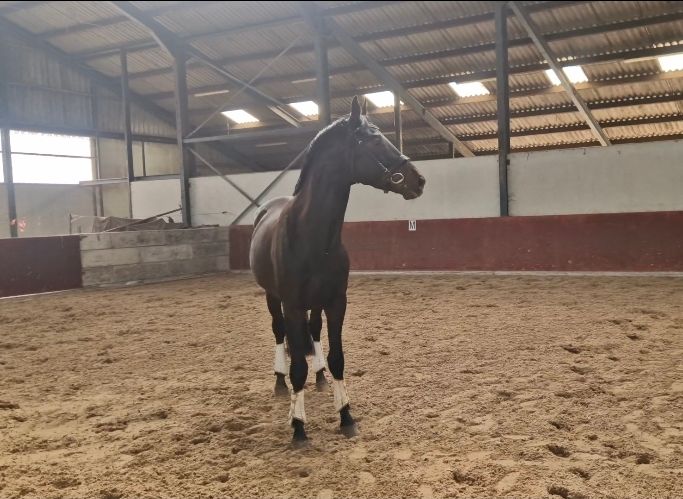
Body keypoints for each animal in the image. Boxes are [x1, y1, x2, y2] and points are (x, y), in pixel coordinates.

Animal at [249, 96, 425, 443]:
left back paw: (319, 378)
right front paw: (298, 426)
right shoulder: (291, 304)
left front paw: (345, 415)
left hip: (315, 304)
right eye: (374, 139)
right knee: (279, 335)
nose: (418, 179)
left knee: (314, 333)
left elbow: (337, 358)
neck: (313, 237)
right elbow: (297, 367)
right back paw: (279, 382)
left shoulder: (335, 302)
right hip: (273, 298)